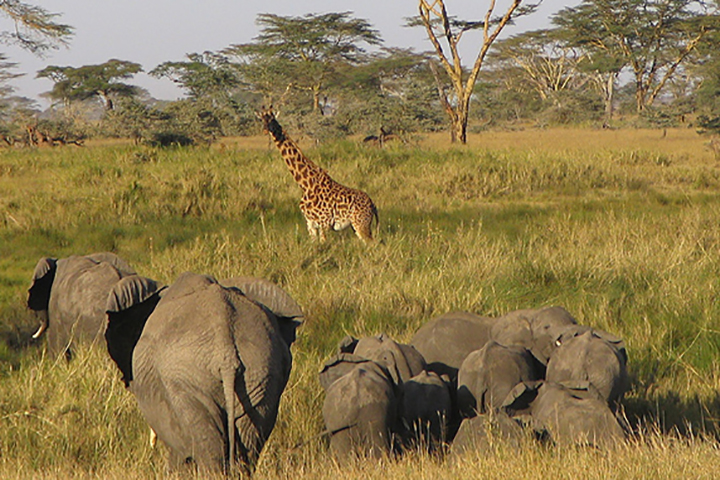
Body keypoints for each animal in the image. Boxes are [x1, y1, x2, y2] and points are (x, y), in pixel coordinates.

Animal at [260, 109, 382, 244]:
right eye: (262, 119)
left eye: (272, 119)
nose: (265, 130)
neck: (305, 184)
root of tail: (373, 204)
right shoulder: (310, 224)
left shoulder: (325, 223)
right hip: (356, 226)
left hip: (361, 224)